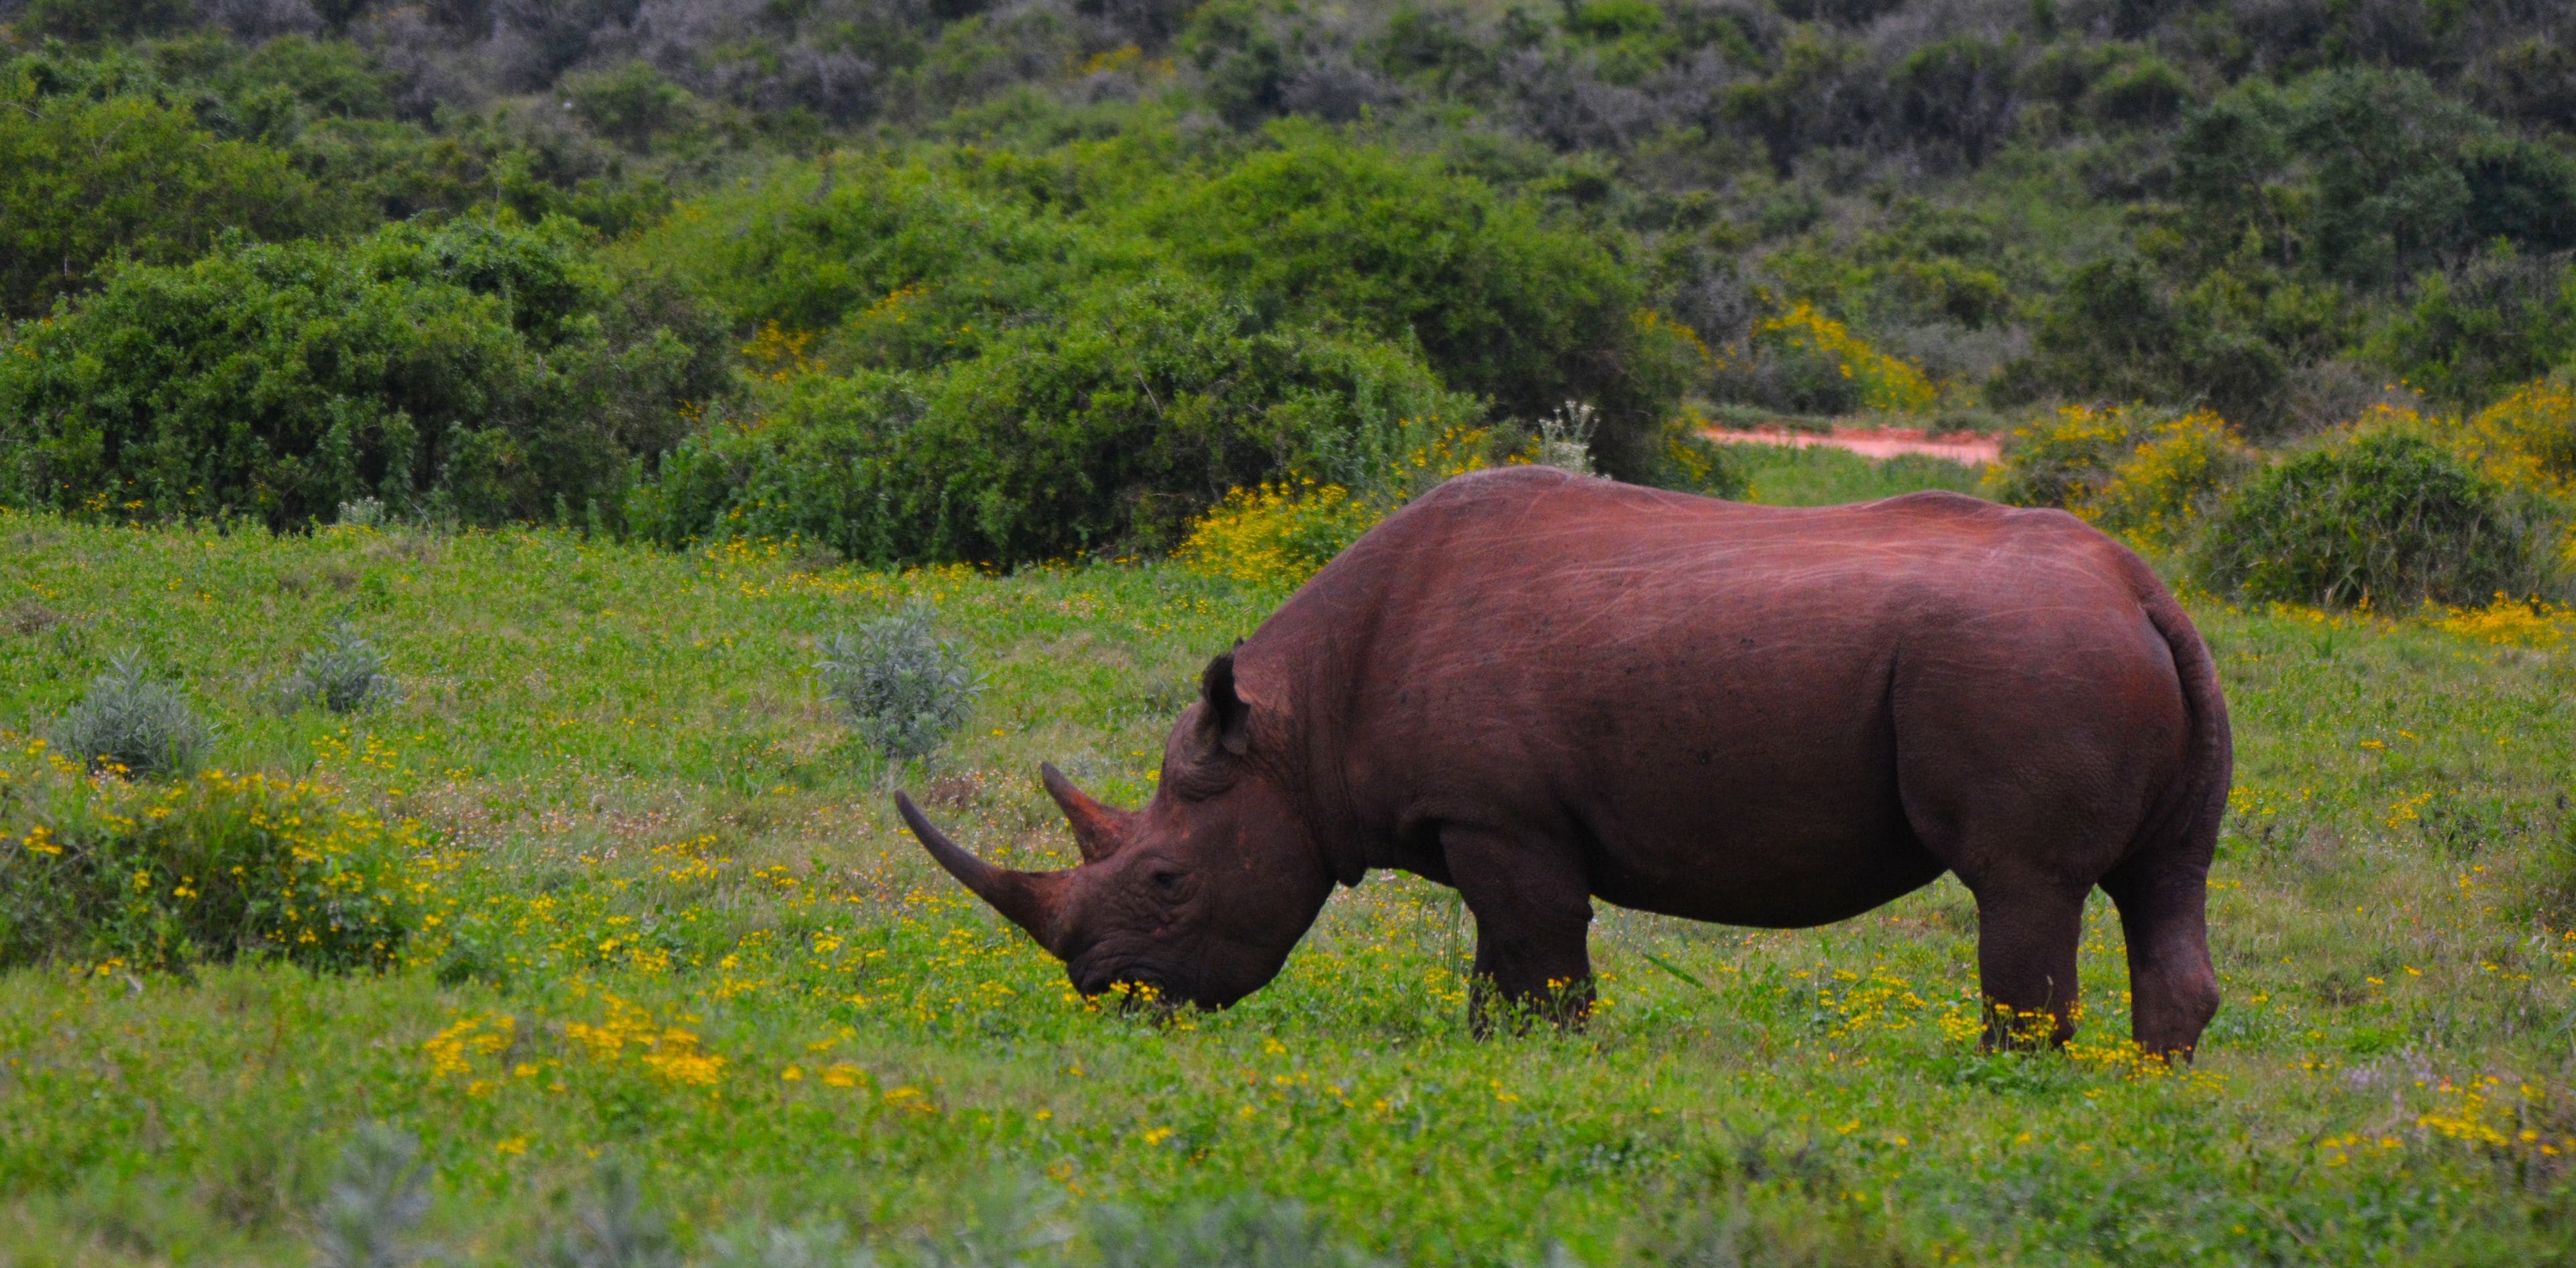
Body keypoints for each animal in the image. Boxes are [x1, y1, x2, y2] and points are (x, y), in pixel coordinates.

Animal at [897, 466, 2230, 1056]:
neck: (1293, 726)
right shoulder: (1480, 819)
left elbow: (1538, 957)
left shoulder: (1501, 817)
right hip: (2128, 656)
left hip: (2024, 661)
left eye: (1167, 880)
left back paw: (2010, 1080)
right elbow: (1503, 963)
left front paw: (1548, 1063)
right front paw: (1495, 1056)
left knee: (2022, 880)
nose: (1108, 992)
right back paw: (2145, 1082)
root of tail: (2143, 588)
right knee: (2163, 880)